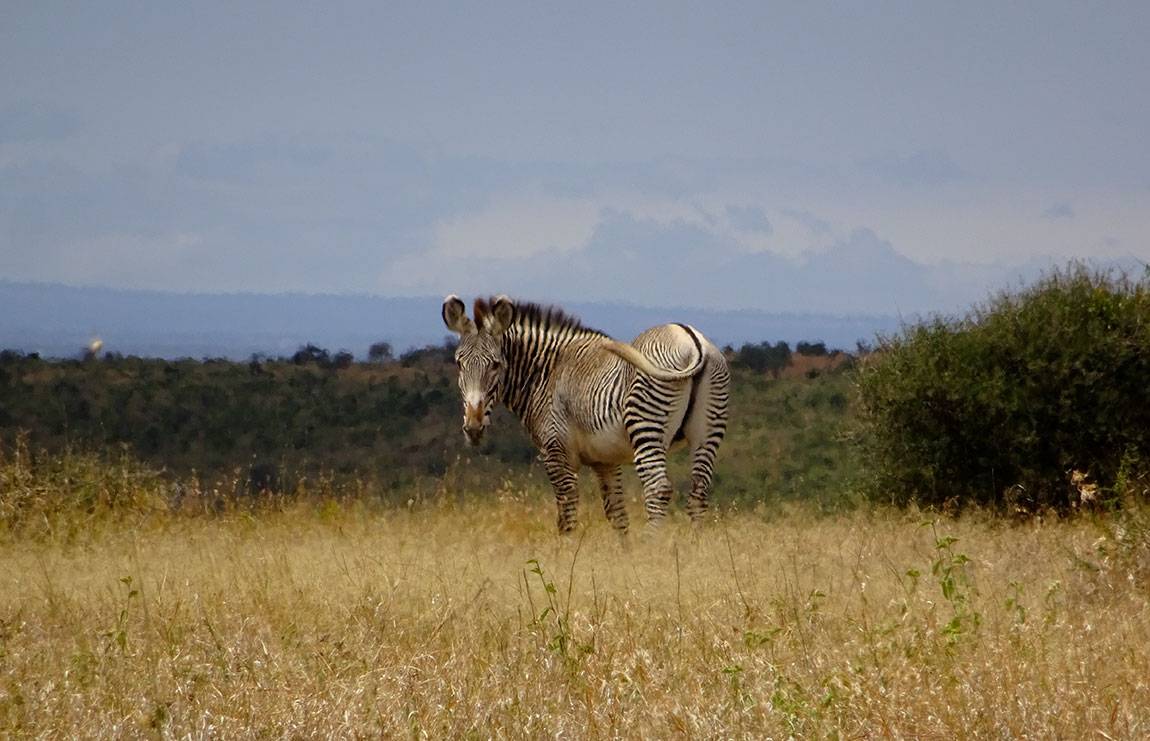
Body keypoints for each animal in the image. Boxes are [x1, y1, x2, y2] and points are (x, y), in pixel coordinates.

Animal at [442, 294, 729, 534]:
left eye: (495, 365)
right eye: (459, 363)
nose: (474, 428)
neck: (547, 373)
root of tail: (690, 340)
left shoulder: (555, 451)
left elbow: (566, 512)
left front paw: (566, 556)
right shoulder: (606, 460)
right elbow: (617, 514)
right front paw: (626, 559)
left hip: (646, 426)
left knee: (658, 488)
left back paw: (652, 547)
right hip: (708, 433)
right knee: (699, 492)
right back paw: (694, 547)